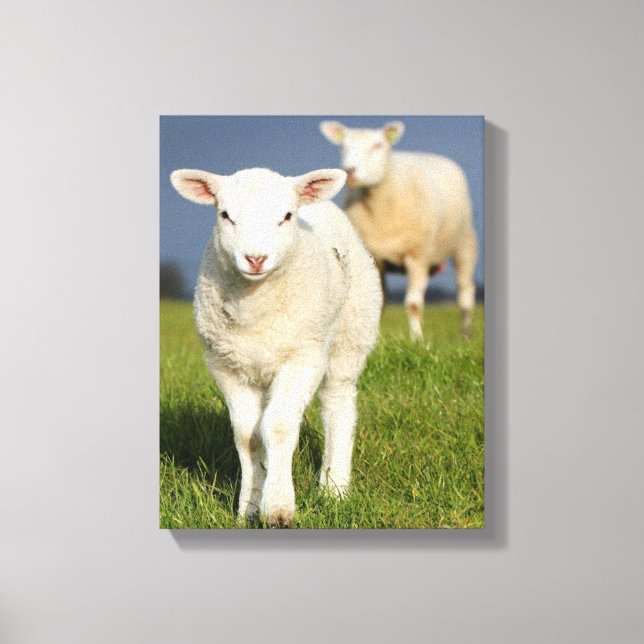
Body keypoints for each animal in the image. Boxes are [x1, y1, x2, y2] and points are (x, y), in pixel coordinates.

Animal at [170, 166, 382, 527]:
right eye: (225, 215)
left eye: (286, 216)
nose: (255, 258)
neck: (255, 307)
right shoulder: (227, 366)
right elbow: (248, 436)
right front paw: (248, 507)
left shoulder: (303, 358)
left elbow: (279, 428)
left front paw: (279, 509)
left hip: (350, 336)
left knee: (338, 406)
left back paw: (334, 488)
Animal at [320, 120, 478, 341]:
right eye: (343, 146)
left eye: (377, 145)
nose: (350, 171)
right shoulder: (376, 260)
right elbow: (378, 302)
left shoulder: (417, 256)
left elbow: (413, 304)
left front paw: (417, 339)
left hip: (464, 244)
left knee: (465, 293)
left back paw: (465, 334)